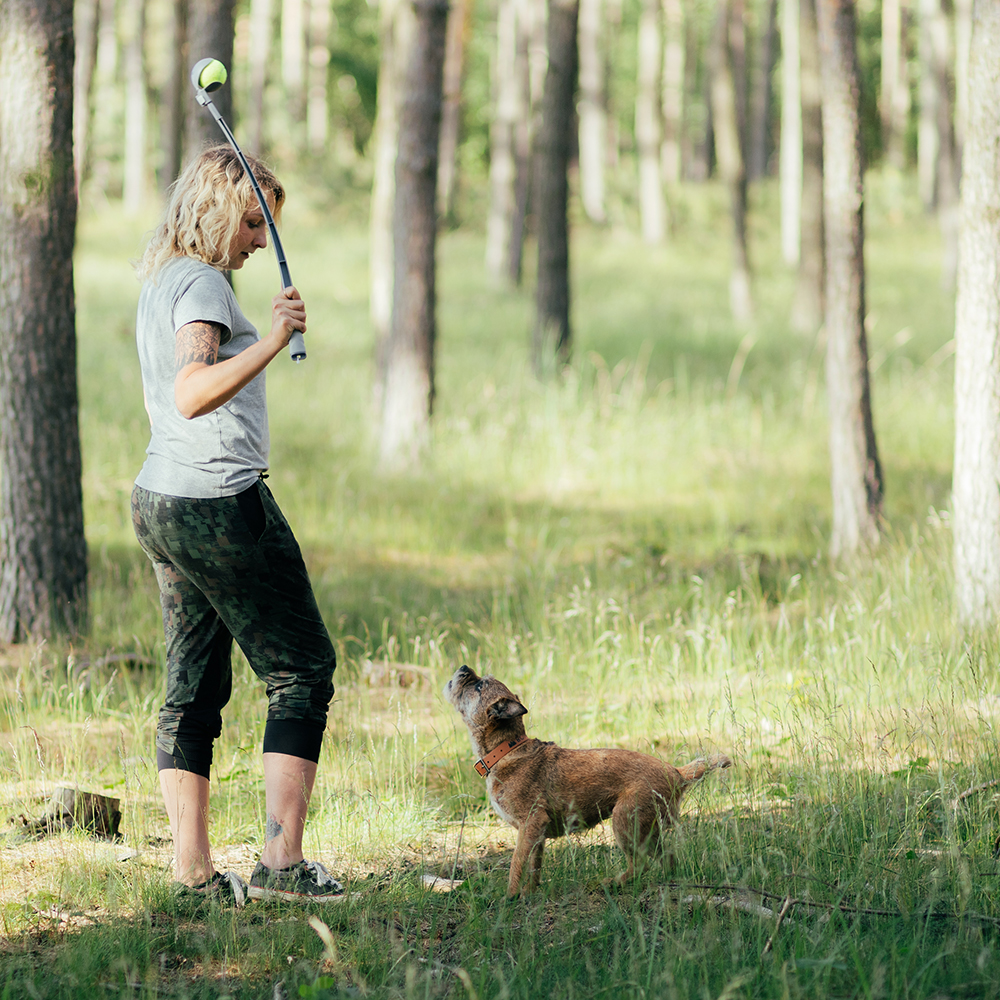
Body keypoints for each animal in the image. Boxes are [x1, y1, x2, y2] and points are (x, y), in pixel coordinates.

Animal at [450, 664, 732, 900]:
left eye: (479, 685)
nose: (464, 668)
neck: (506, 749)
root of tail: (675, 772)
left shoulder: (530, 823)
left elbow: (516, 865)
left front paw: (509, 898)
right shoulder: (535, 834)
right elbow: (533, 867)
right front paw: (529, 893)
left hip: (624, 822)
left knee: (640, 864)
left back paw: (614, 883)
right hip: (647, 829)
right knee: (668, 858)